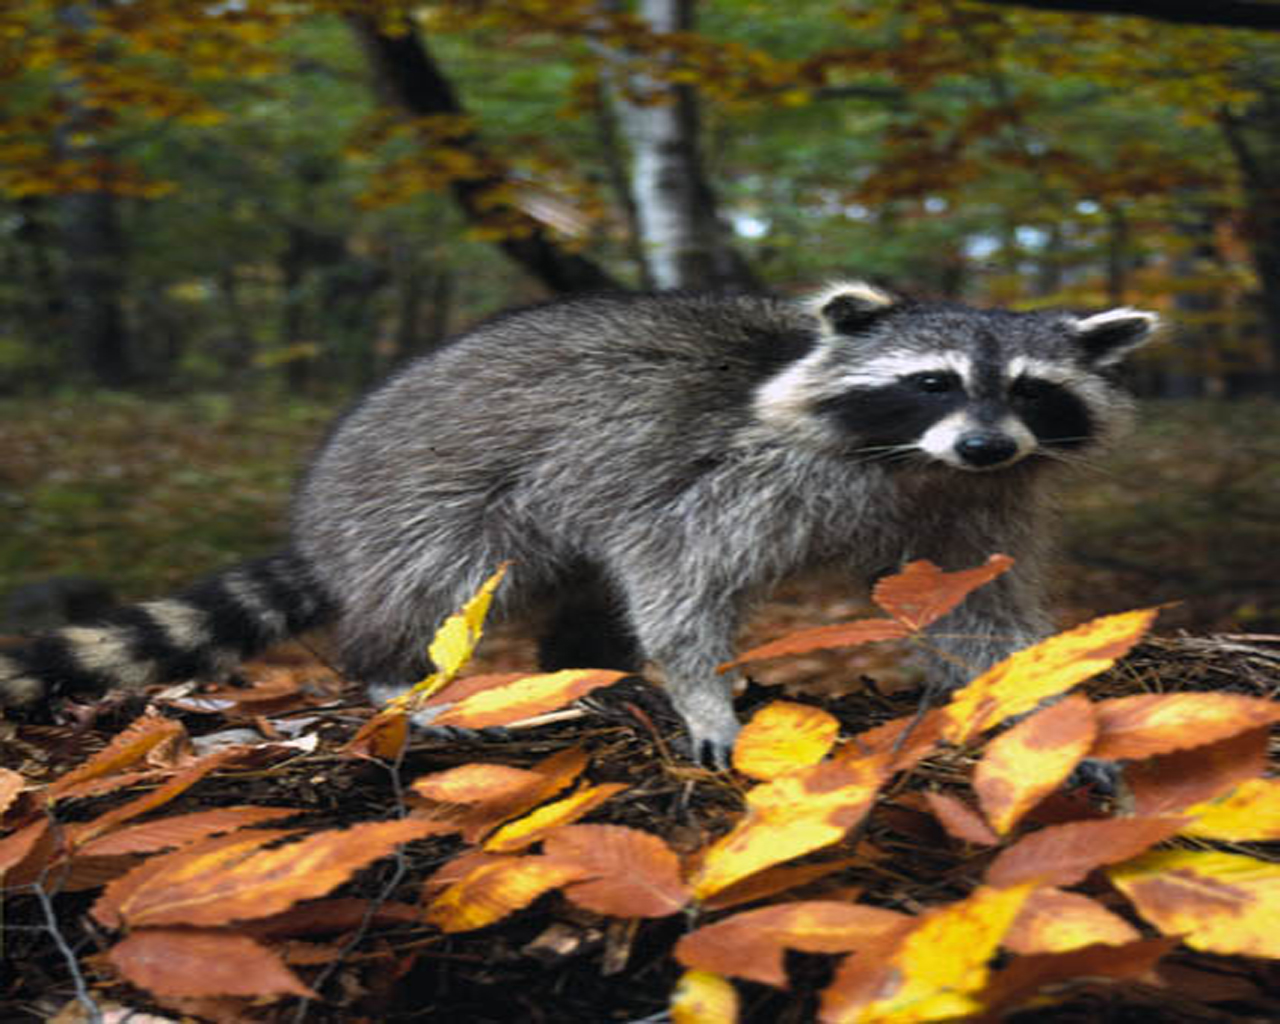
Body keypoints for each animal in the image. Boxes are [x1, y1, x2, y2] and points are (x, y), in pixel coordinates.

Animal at [0, 282, 1157, 764]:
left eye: (1030, 391)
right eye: (929, 382)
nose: (985, 443)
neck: (911, 461)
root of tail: (326, 508)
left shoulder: (973, 504)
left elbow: (980, 609)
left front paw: (1032, 700)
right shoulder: (736, 473)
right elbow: (675, 571)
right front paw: (698, 688)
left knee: (583, 598)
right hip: (430, 494)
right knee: (445, 585)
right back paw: (395, 673)